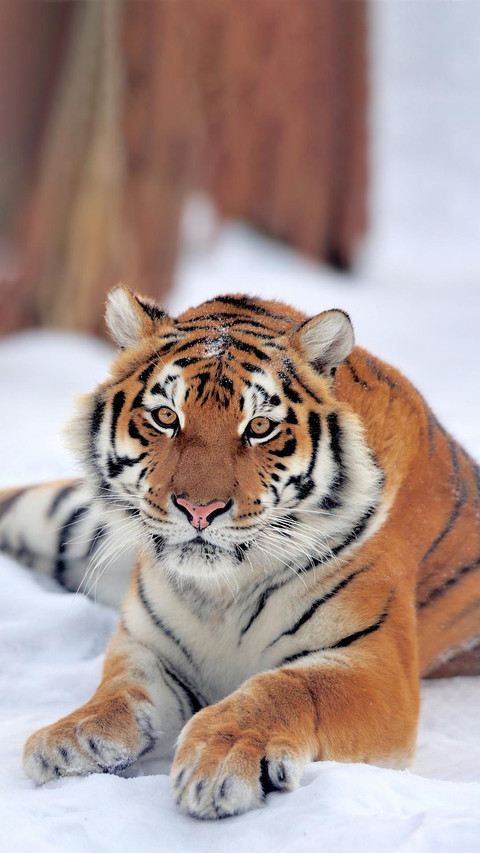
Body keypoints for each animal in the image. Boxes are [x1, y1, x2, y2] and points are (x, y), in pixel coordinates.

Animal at [1, 286, 479, 821]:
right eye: (166, 417)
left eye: (260, 427)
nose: (199, 509)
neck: (222, 593)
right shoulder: (149, 644)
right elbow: (119, 687)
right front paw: (72, 736)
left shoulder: (374, 666)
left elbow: (287, 688)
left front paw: (221, 756)